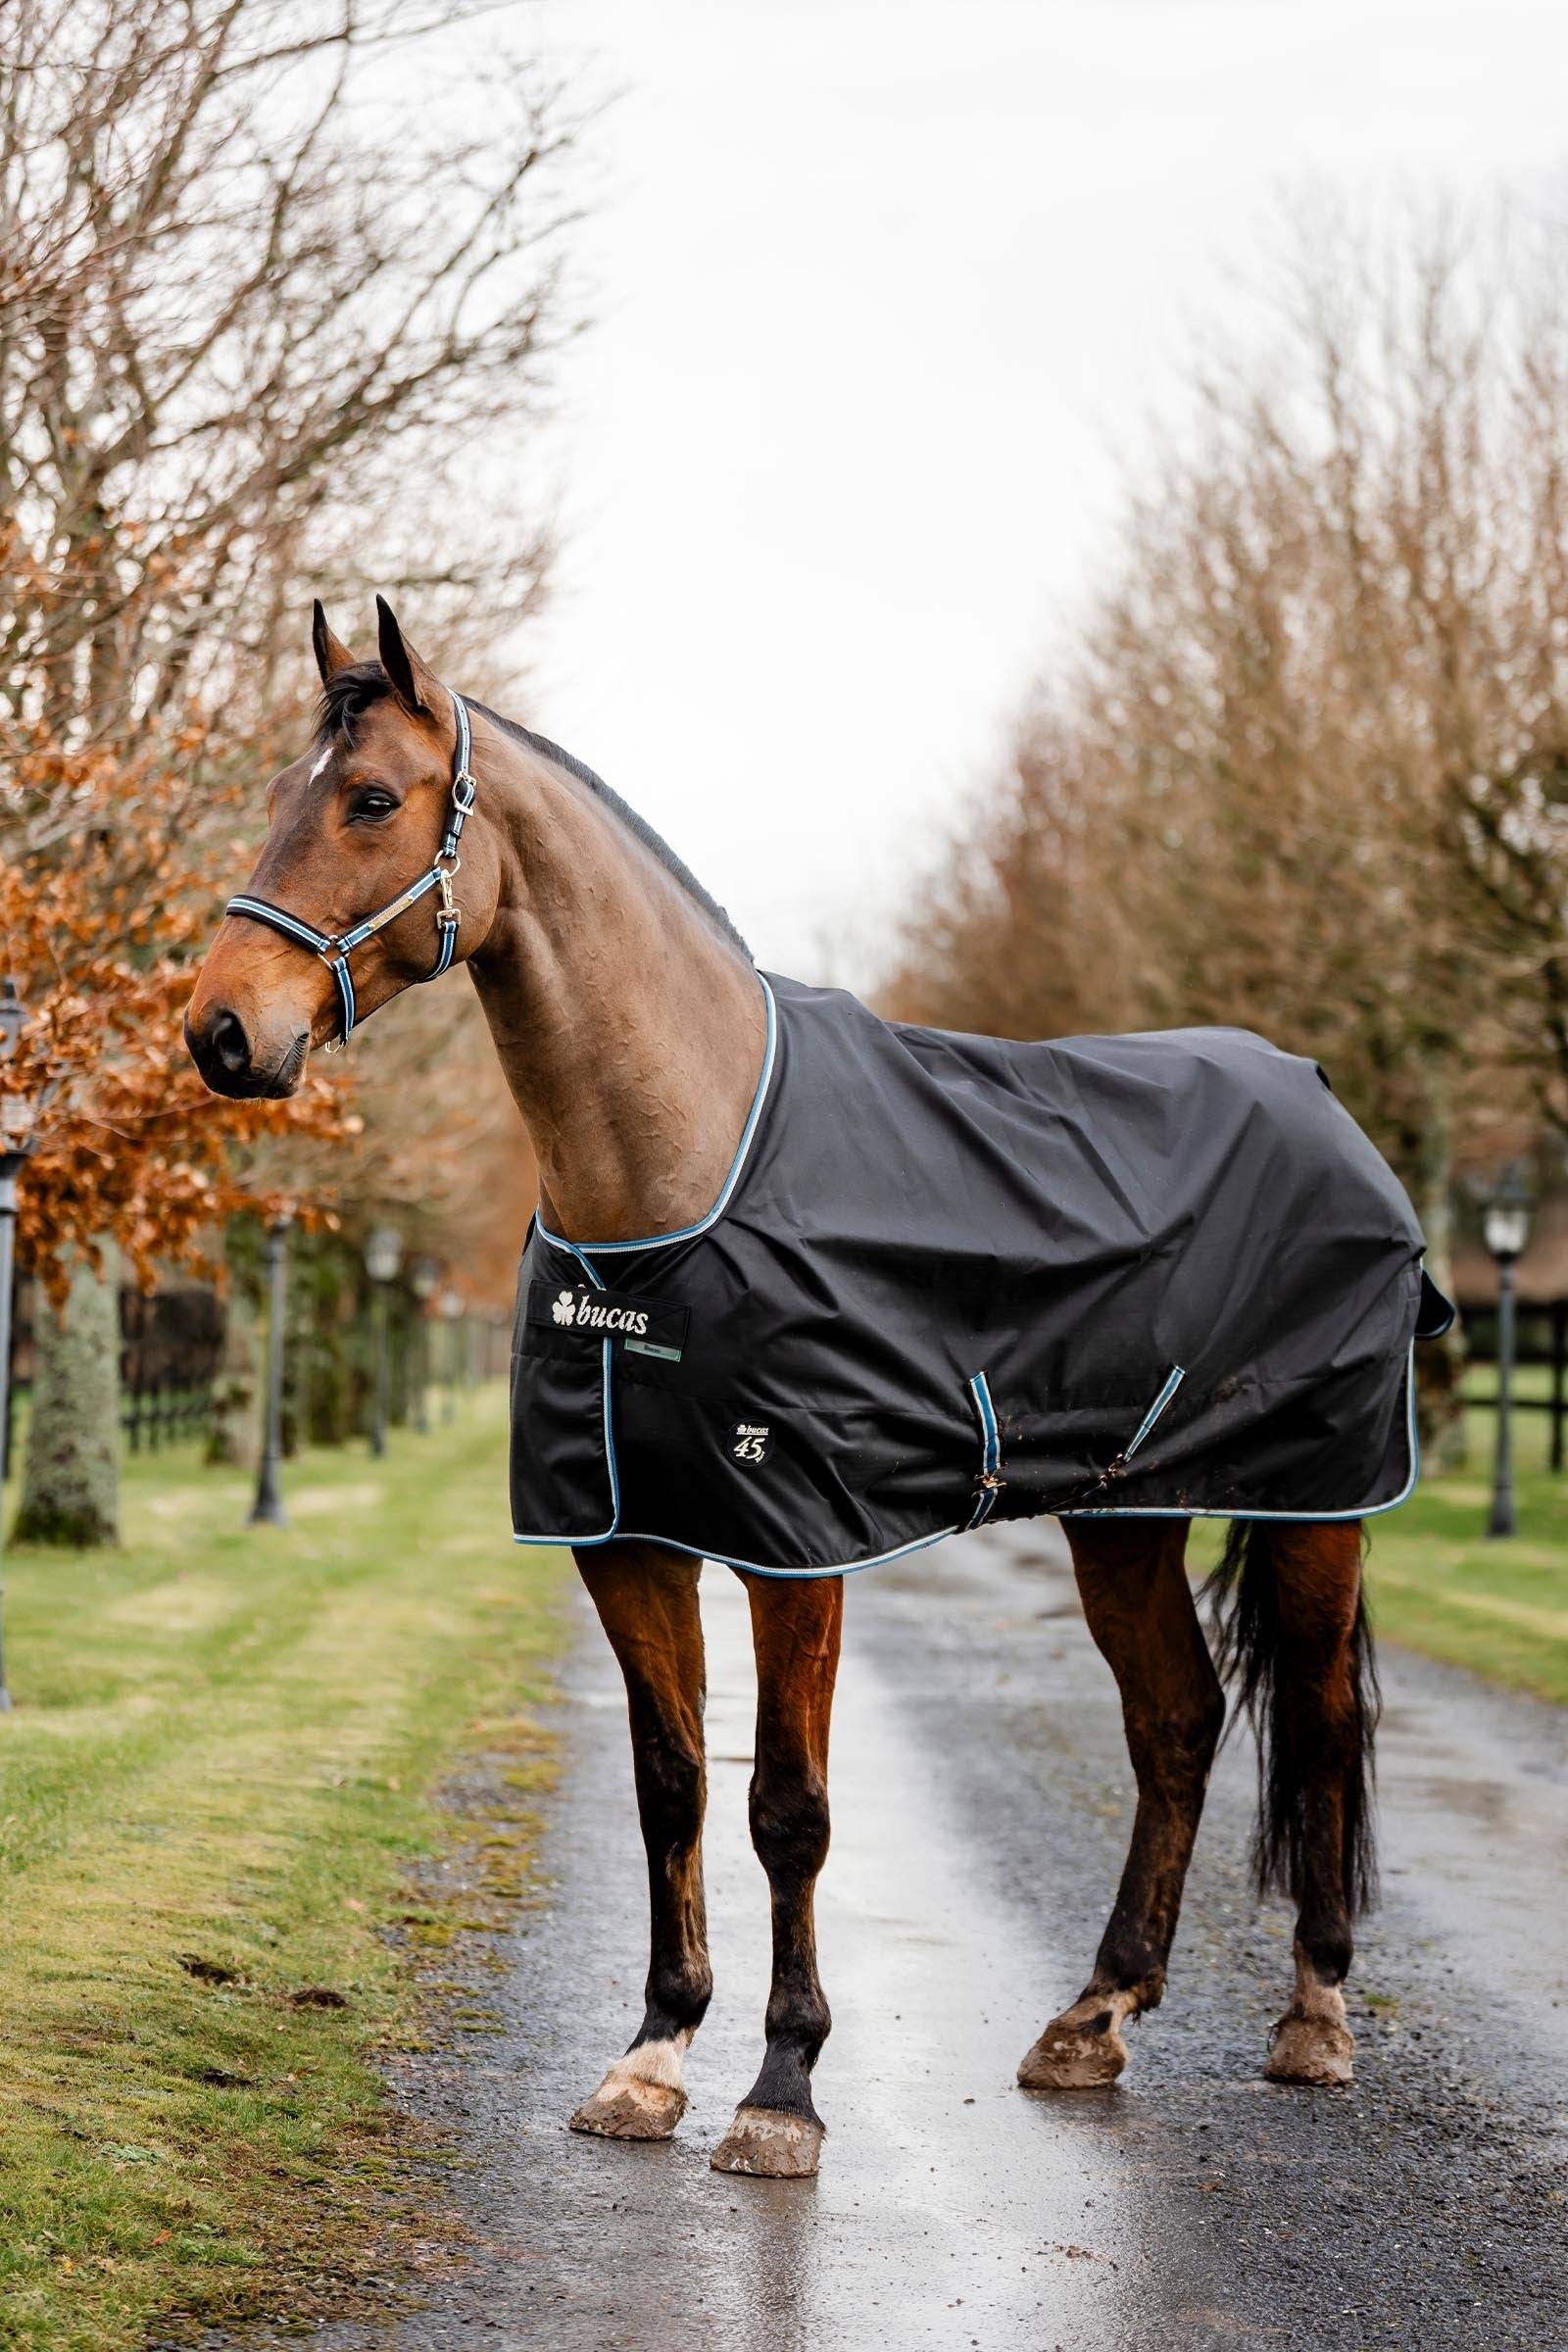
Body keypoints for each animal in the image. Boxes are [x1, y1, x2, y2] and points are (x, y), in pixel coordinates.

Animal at [185, 598, 1429, 2180]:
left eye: (369, 800)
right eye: (286, 793)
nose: (221, 1031)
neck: (687, 1168)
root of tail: (1327, 1105)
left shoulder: (797, 1545)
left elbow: (788, 1806)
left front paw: (782, 2090)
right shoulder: (627, 1539)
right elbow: (670, 1785)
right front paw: (653, 2057)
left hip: (1317, 1505)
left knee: (1320, 1722)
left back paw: (1313, 2018)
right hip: (1122, 1516)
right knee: (1178, 1723)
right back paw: (1094, 2017)